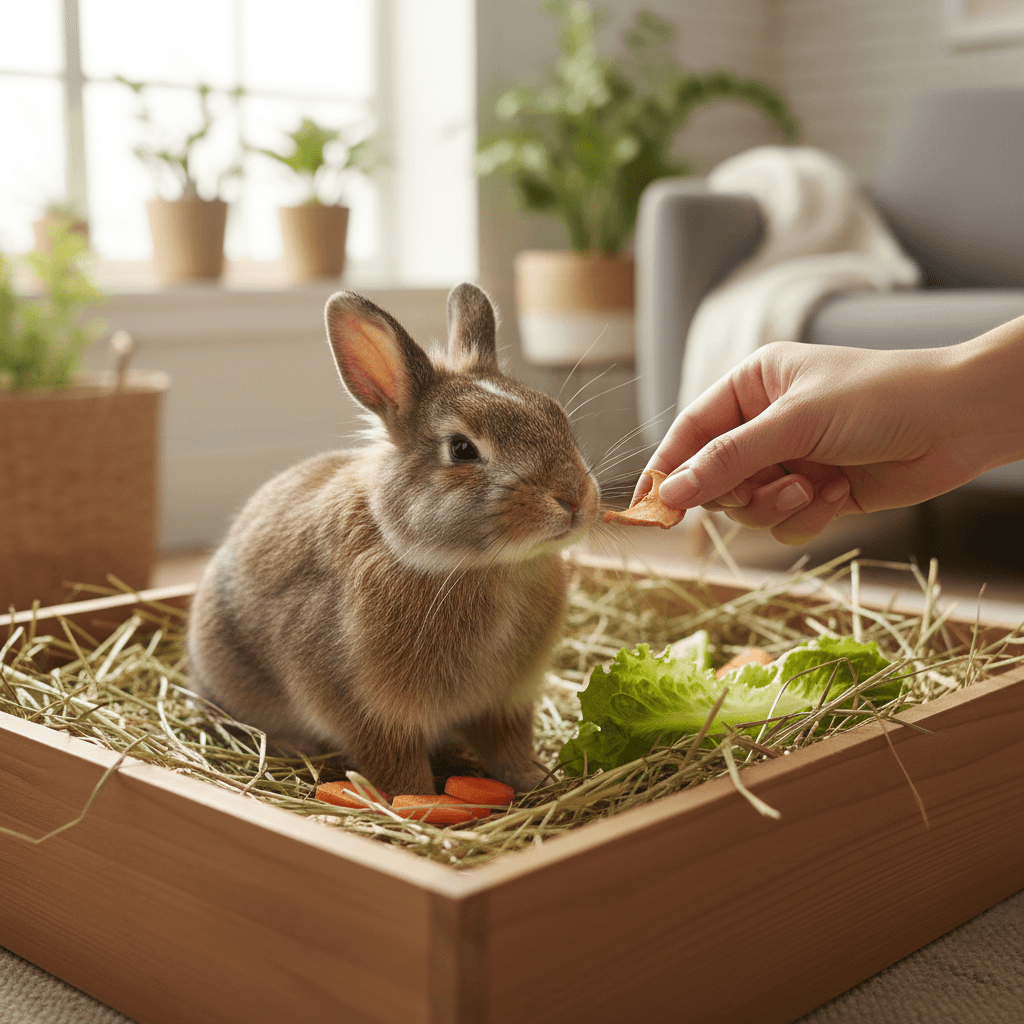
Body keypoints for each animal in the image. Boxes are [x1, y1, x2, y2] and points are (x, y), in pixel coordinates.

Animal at [186, 283, 600, 796]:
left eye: (556, 416)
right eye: (462, 449)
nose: (574, 498)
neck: (481, 567)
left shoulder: (506, 702)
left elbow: (509, 746)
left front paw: (535, 779)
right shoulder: (371, 712)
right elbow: (396, 766)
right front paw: (420, 801)